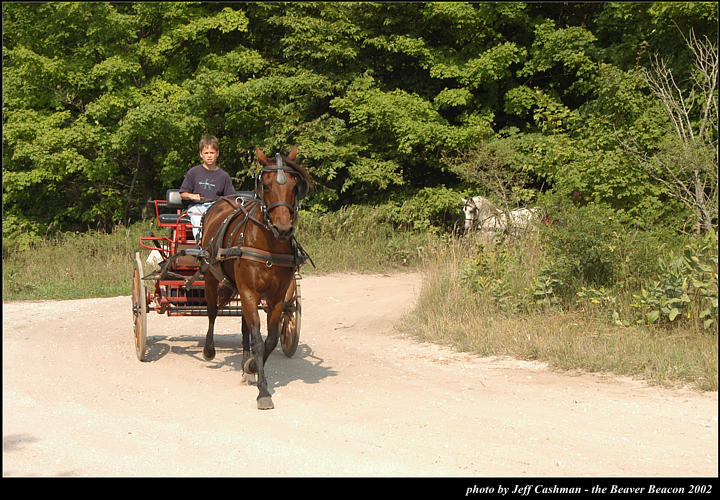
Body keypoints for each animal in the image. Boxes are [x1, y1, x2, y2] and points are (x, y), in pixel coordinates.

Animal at [198, 146, 310, 410]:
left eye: (294, 186)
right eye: (266, 185)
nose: (283, 229)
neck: (268, 244)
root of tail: (226, 200)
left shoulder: (278, 296)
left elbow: (270, 339)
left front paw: (251, 367)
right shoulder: (249, 291)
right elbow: (259, 339)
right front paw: (263, 392)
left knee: (244, 324)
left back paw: (245, 361)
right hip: (211, 276)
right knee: (212, 311)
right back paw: (209, 349)